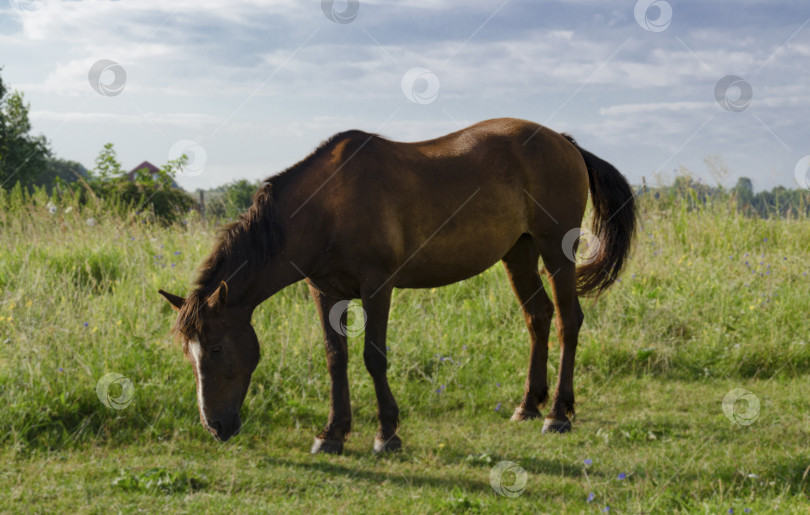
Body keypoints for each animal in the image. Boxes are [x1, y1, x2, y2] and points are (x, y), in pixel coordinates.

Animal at [158, 118, 636, 456]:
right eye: (189, 352)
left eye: (216, 347)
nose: (215, 426)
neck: (327, 206)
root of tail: (566, 142)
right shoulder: (324, 292)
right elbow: (336, 359)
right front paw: (332, 433)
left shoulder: (378, 287)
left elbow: (374, 356)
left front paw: (387, 433)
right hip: (519, 252)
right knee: (538, 318)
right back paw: (529, 405)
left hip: (556, 249)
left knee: (568, 320)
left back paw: (558, 413)